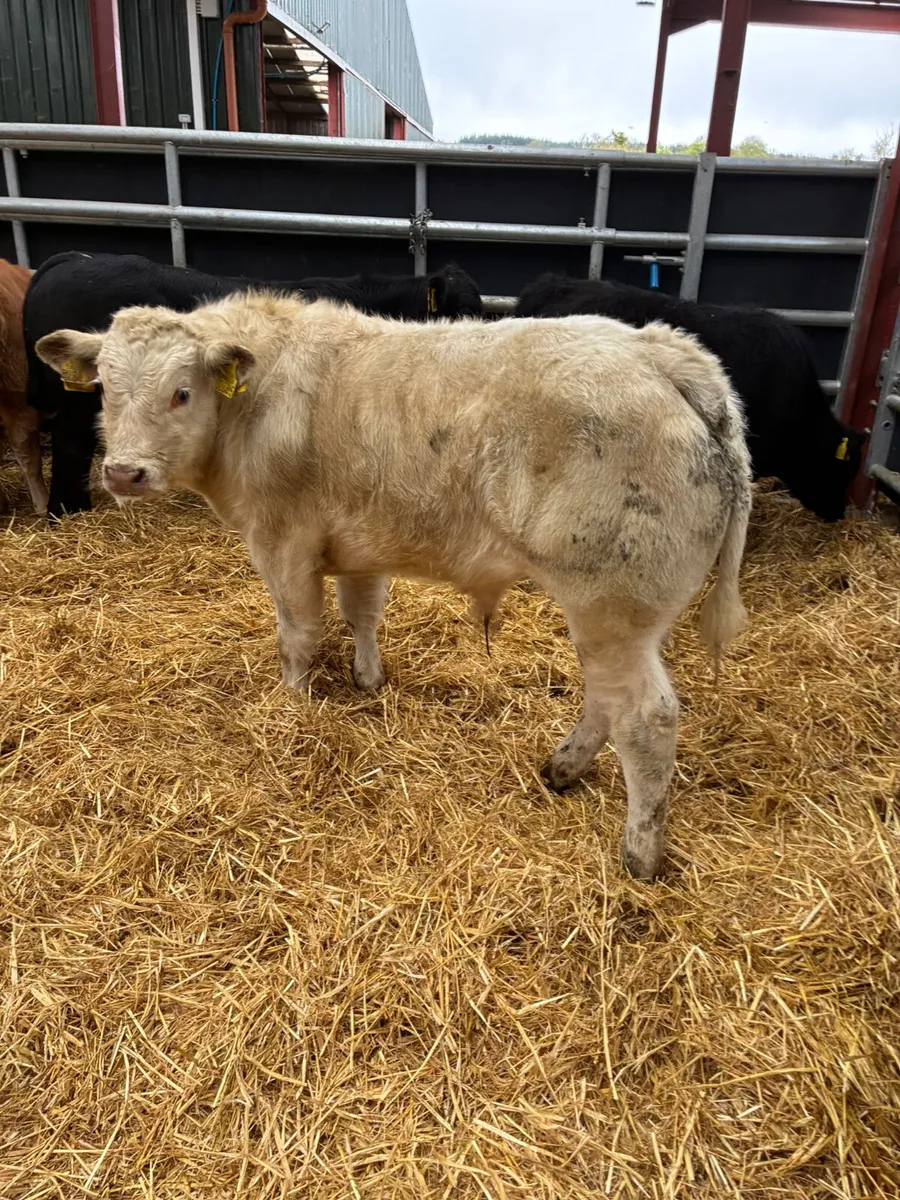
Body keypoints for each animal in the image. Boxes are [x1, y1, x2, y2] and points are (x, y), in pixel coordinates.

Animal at [36, 293, 752, 880]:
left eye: (182, 392)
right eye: (103, 387)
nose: (124, 473)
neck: (253, 405)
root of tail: (663, 351)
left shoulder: (282, 543)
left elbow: (298, 634)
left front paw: (292, 706)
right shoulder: (357, 544)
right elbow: (362, 613)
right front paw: (367, 680)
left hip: (613, 605)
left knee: (646, 718)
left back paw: (640, 853)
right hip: (616, 617)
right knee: (606, 700)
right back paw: (562, 769)